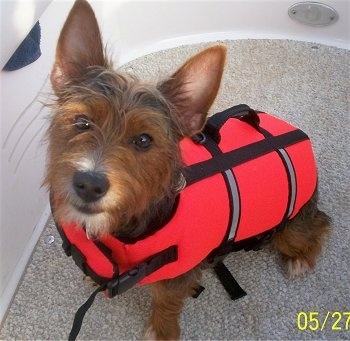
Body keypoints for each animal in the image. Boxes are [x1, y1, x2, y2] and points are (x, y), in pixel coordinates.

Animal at [45, 0, 332, 338]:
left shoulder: (173, 278)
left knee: (319, 227)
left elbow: (166, 301)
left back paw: (300, 259)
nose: (89, 184)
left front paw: (161, 330)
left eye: (144, 140)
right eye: (81, 122)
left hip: (291, 226)